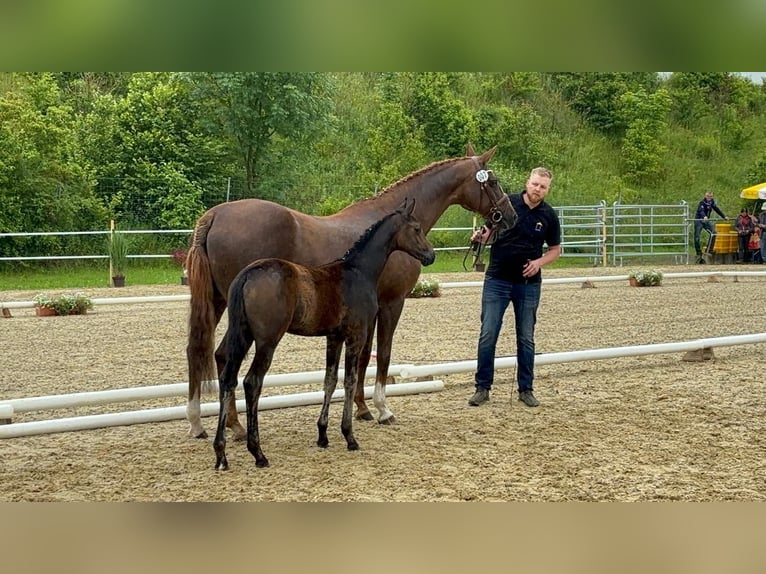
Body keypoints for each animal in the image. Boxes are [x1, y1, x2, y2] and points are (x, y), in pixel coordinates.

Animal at [186, 145, 516, 440]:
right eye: (494, 181)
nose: (510, 216)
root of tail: (214, 215)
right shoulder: (392, 303)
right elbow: (382, 354)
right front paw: (382, 409)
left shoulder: (368, 311)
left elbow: (362, 358)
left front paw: (362, 408)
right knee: (224, 357)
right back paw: (234, 426)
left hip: (218, 303)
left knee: (203, 352)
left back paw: (201, 423)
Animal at [213, 200, 436, 470]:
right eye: (417, 228)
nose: (431, 255)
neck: (358, 271)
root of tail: (248, 274)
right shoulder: (355, 336)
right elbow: (349, 380)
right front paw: (350, 436)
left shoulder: (334, 337)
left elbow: (329, 379)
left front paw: (323, 435)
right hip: (267, 341)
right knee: (252, 382)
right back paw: (258, 453)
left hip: (243, 337)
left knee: (228, 379)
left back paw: (221, 454)